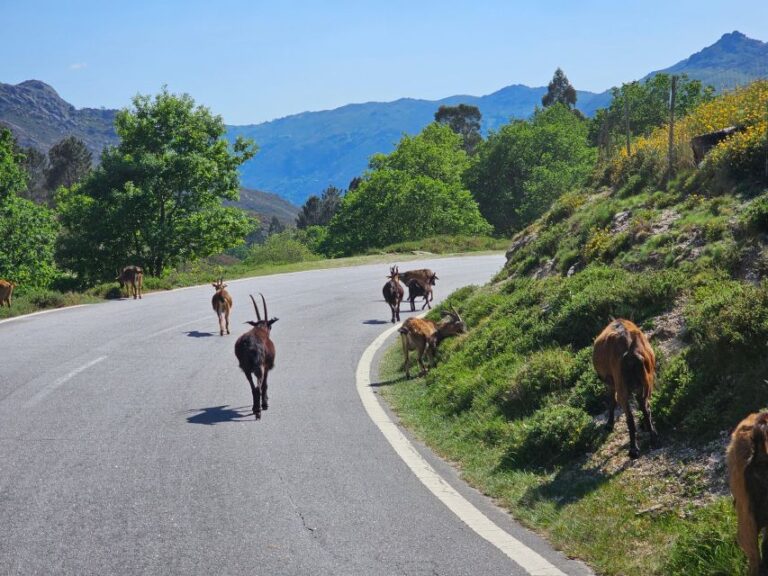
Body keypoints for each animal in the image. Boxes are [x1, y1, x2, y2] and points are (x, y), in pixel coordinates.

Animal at [592, 320, 656, 460]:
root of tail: (631, 353)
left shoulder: (612, 382)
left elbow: (612, 401)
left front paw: (609, 424)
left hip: (622, 384)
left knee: (630, 417)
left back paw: (633, 450)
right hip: (646, 381)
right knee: (645, 407)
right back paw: (653, 435)